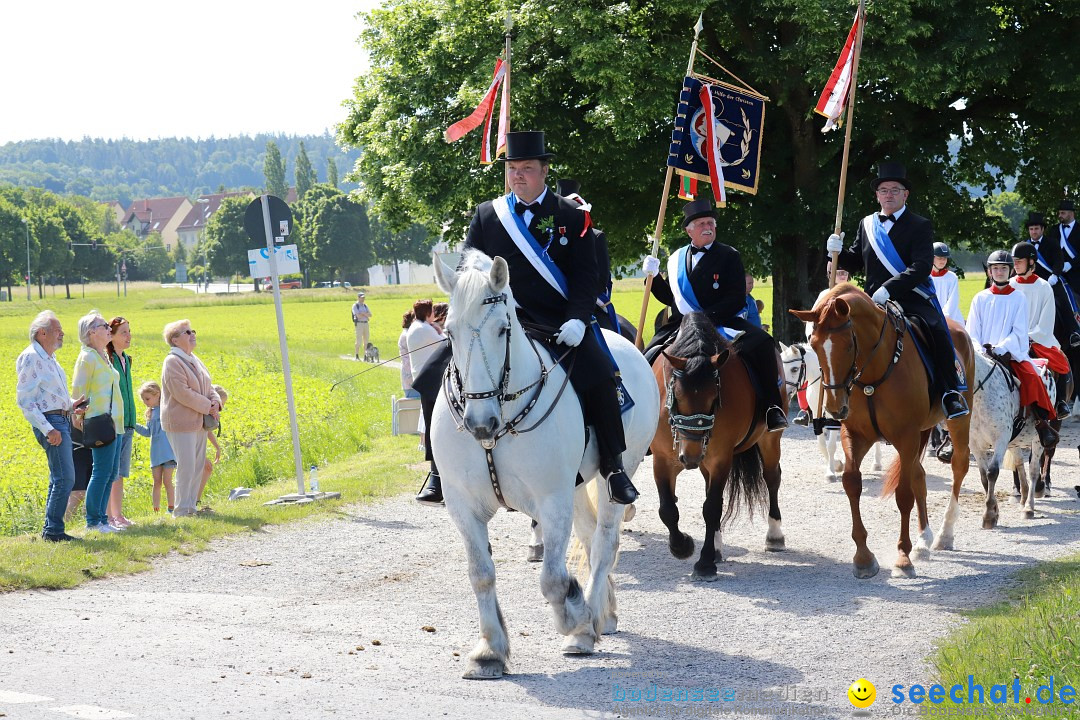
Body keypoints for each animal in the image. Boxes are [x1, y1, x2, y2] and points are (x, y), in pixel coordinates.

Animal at [429, 250, 656, 677]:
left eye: (503, 329)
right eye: (449, 332)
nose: (479, 423)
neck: (501, 421)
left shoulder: (552, 501)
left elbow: (552, 578)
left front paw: (576, 619)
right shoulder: (463, 505)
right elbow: (480, 575)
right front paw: (489, 651)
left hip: (617, 472)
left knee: (605, 542)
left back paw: (589, 621)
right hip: (578, 486)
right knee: (590, 536)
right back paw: (606, 612)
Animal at [648, 313, 786, 582]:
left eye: (714, 398)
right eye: (676, 396)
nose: (690, 457)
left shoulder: (721, 458)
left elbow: (711, 508)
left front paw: (704, 563)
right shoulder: (662, 459)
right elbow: (667, 509)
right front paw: (683, 546)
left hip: (769, 439)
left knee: (772, 477)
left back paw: (774, 535)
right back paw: (717, 547)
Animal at [781, 343, 881, 481]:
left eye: (794, 369)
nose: (783, 393)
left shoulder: (834, 417)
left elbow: (831, 445)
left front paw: (831, 472)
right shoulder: (818, 416)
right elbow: (822, 445)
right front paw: (836, 465)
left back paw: (877, 463)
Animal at [937, 349, 1054, 546]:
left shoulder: (1000, 439)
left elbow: (992, 472)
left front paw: (989, 516)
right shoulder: (975, 444)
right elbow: (984, 477)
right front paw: (994, 511)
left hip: (1037, 439)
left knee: (1033, 470)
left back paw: (1029, 507)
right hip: (1014, 441)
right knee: (1019, 463)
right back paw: (1023, 495)